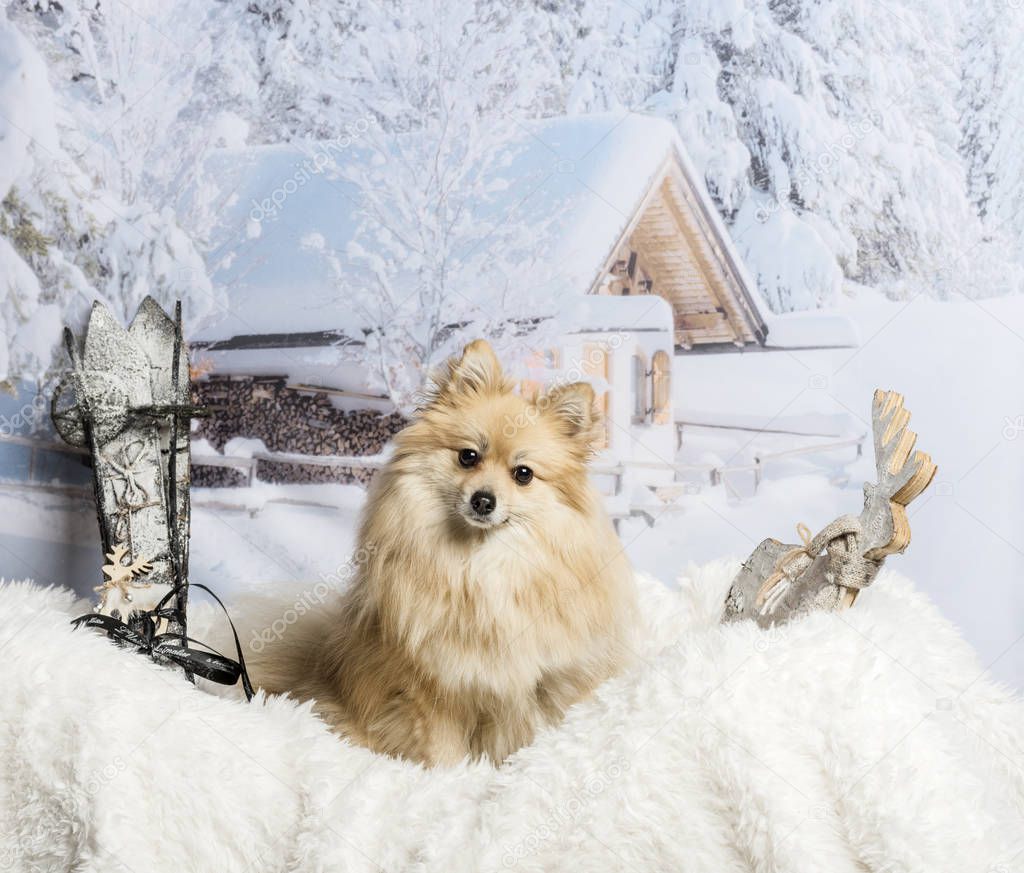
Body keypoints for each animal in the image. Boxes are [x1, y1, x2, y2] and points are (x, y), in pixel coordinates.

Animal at [247, 339, 630, 761]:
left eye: (523, 474)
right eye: (468, 457)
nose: (484, 500)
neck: (479, 564)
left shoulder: (532, 686)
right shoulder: (432, 688)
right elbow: (443, 751)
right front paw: (450, 777)